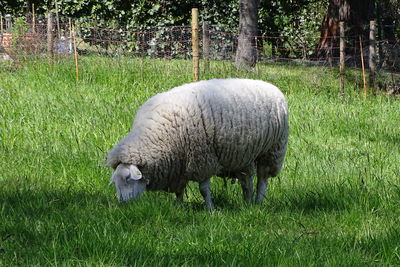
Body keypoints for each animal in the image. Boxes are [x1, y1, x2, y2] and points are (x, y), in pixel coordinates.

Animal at [106, 78, 288, 210]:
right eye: (115, 182)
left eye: (128, 179)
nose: (122, 205)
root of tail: (272, 87)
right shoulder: (178, 166)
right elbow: (179, 190)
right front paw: (178, 207)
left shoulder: (202, 160)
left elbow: (203, 190)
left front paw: (210, 209)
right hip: (244, 155)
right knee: (247, 180)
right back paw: (247, 203)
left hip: (272, 151)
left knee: (262, 179)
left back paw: (258, 202)